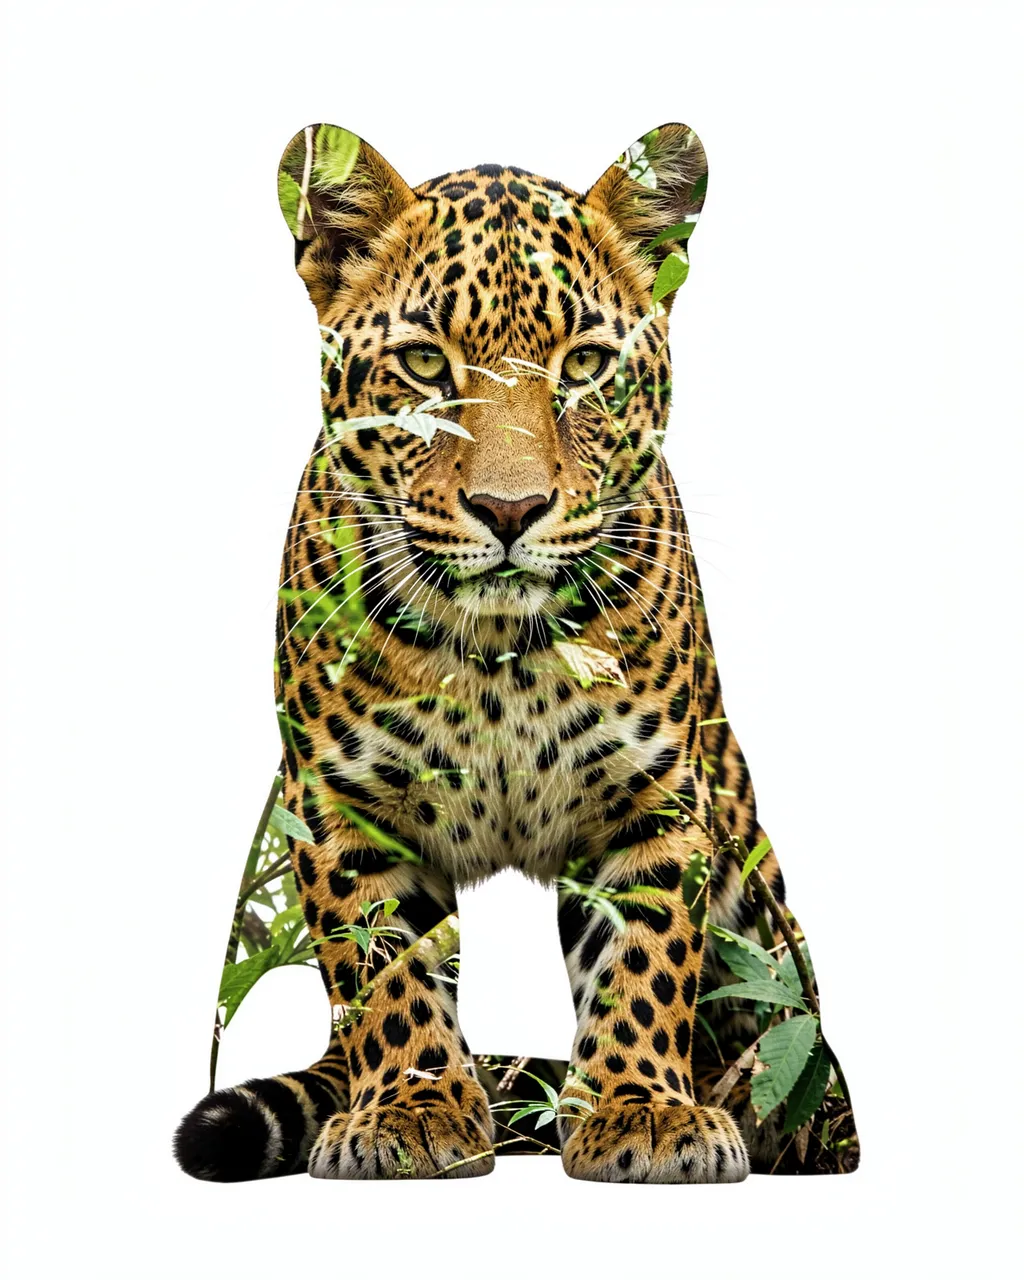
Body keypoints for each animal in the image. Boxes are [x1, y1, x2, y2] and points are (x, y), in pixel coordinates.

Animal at [174, 122, 858, 1184]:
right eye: (424, 364)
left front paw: (639, 1112)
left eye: (583, 366)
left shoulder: (654, 802)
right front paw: (412, 1110)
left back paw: (758, 1109)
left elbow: (643, 963)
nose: (509, 509)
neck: (496, 654)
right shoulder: (341, 809)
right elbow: (388, 973)